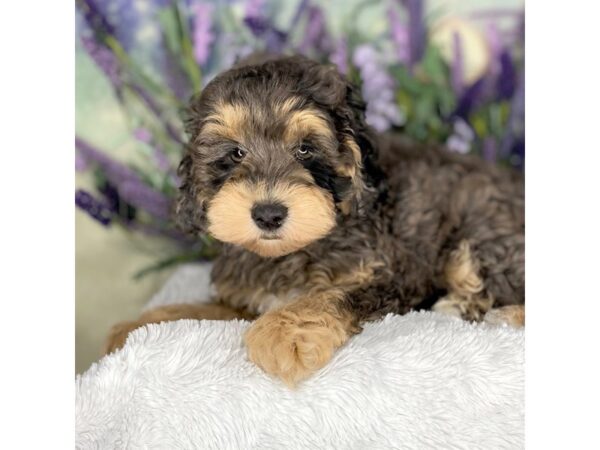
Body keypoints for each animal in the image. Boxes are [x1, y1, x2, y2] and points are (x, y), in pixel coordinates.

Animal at [105, 54, 524, 384]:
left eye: (305, 150)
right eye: (236, 152)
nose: (268, 214)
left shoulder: (395, 273)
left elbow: (331, 294)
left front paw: (282, 333)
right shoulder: (246, 297)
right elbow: (203, 310)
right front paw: (137, 325)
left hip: (481, 237)